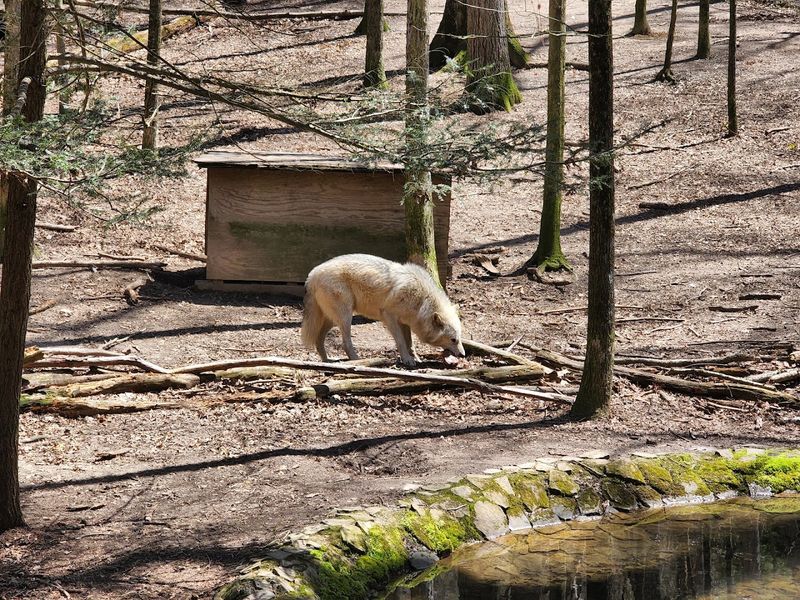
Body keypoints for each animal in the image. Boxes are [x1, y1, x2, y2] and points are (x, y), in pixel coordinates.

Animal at [301, 254, 465, 367]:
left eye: (459, 338)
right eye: (453, 340)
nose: (463, 355)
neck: (422, 300)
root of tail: (312, 275)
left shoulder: (405, 322)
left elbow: (410, 343)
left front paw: (415, 358)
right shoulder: (389, 316)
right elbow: (400, 341)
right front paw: (407, 360)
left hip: (332, 320)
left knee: (318, 339)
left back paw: (327, 361)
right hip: (345, 317)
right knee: (345, 343)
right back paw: (357, 361)